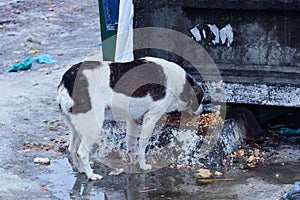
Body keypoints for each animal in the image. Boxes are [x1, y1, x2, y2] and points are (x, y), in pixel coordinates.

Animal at [56, 56, 204, 180]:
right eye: (200, 99)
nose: (202, 110)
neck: (177, 82)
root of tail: (66, 80)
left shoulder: (133, 120)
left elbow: (131, 144)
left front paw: (133, 162)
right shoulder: (150, 118)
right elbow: (142, 145)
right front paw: (143, 165)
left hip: (77, 128)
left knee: (72, 149)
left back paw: (81, 170)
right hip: (92, 127)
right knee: (81, 153)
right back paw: (91, 175)